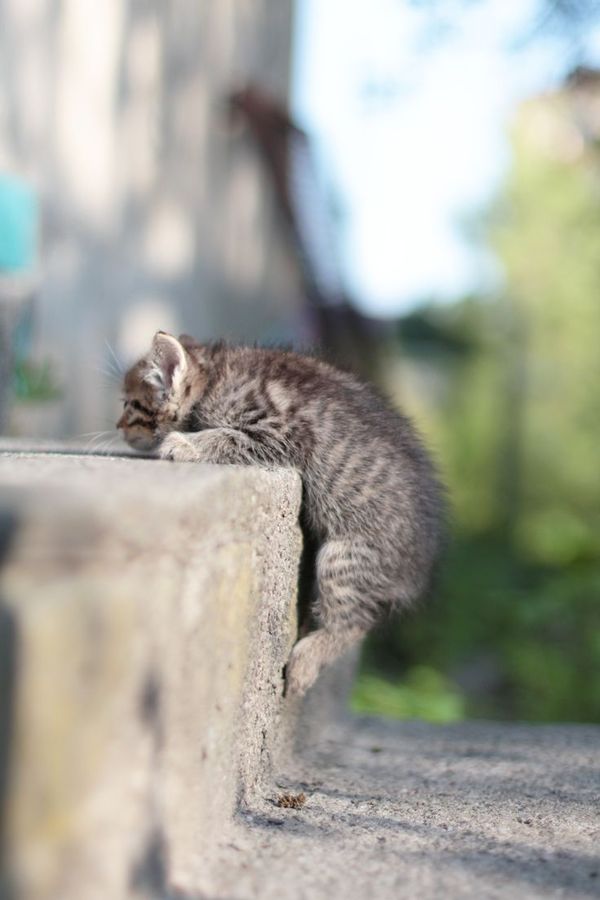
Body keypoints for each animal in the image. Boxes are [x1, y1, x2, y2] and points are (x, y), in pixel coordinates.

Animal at [118, 330, 446, 696]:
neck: (214, 375)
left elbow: (228, 437)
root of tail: (415, 572)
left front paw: (184, 444)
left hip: (345, 557)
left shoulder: (282, 433)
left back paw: (307, 661)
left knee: (354, 623)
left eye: (130, 404)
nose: (118, 427)